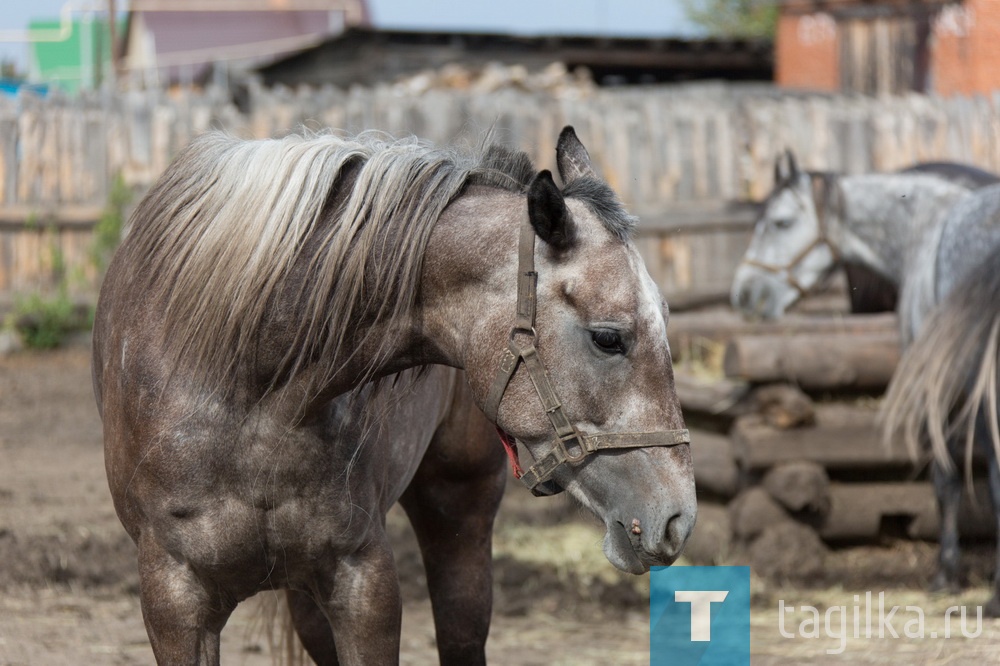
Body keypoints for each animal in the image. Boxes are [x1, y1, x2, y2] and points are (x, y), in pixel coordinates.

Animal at [94, 127, 696, 660]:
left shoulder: (365, 583)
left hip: (458, 513)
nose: (678, 518)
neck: (250, 390)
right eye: (608, 338)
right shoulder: (176, 599)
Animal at [728, 150, 1000, 612]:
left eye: (781, 222)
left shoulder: (940, 386)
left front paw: (946, 574)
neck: (924, 230)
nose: (744, 293)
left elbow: (946, 478)